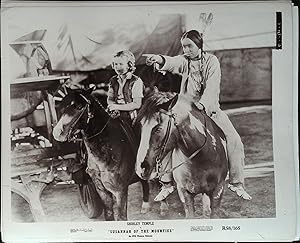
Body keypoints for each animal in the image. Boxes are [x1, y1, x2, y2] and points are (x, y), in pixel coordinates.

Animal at [52, 87, 150, 220]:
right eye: (62, 106)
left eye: (79, 107)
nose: (57, 133)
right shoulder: (101, 189)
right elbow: (108, 213)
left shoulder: (120, 191)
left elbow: (121, 217)